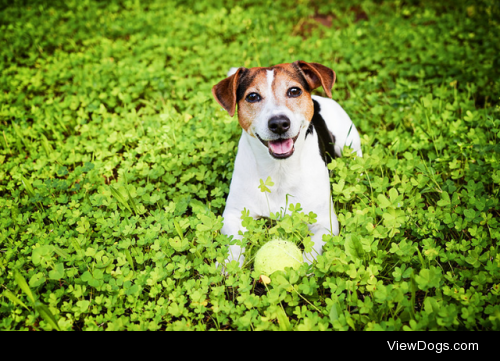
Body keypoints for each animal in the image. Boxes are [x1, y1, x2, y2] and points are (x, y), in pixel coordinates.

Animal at [212, 60, 364, 268]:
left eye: (294, 91)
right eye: (252, 96)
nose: (278, 123)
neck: (279, 170)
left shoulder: (326, 223)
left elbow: (311, 254)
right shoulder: (234, 215)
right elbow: (234, 244)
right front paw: (229, 266)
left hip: (349, 143)